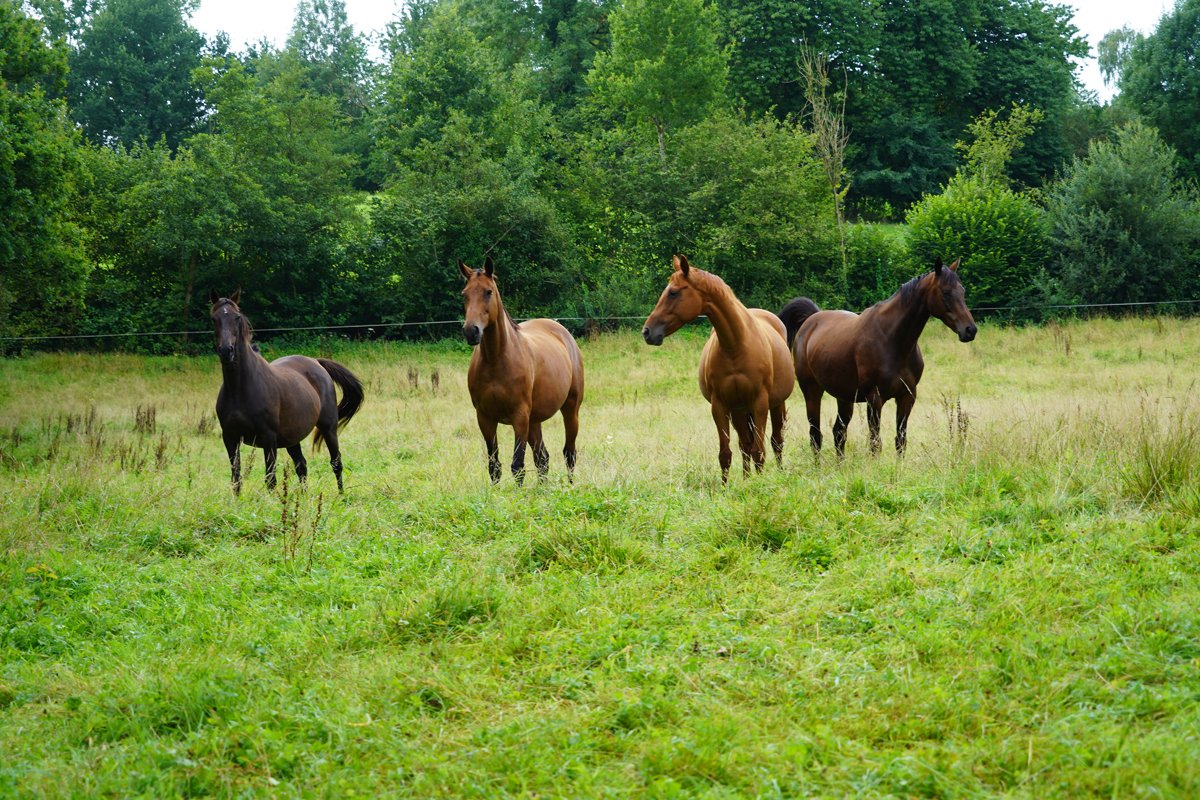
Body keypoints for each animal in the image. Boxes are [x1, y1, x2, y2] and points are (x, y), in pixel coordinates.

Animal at [209, 290, 364, 495]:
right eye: (214, 319)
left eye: (237, 317)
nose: (227, 351)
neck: (240, 388)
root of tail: (316, 362)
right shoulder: (230, 438)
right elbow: (236, 478)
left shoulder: (268, 438)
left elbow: (270, 479)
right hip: (292, 438)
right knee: (302, 466)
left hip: (329, 428)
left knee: (336, 463)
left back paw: (341, 495)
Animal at [460, 257, 584, 484]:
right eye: (465, 294)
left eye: (488, 292)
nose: (471, 331)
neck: (496, 360)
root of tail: (561, 331)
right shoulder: (485, 418)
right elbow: (494, 466)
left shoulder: (519, 416)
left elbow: (517, 465)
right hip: (534, 421)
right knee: (542, 458)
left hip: (570, 409)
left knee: (569, 453)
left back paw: (571, 486)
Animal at [642, 255, 793, 483]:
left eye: (673, 292)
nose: (647, 332)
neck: (736, 345)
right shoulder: (720, 405)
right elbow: (726, 454)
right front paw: (726, 487)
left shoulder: (760, 403)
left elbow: (759, 451)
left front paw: (761, 484)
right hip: (739, 410)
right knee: (744, 445)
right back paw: (746, 479)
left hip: (775, 405)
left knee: (776, 441)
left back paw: (779, 473)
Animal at [777, 257, 976, 458]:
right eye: (946, 292)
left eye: (962, 291)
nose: (970, 330)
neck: (892, 341)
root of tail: (811, 319)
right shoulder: (874, 399)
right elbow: (875, 444)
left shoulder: (907, 397)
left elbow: (900, 441)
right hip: (812, 392)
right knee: (815, 437)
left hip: (844, 397)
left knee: (839, 433)